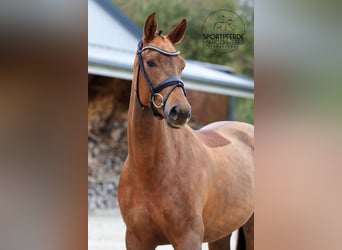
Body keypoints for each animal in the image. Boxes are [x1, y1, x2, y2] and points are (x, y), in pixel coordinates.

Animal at [117, 13, 254, 250]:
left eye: (182, 66)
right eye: (151, 62)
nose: (180, 112)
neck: (149, 169)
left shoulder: (188, 238)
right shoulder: (136, 240)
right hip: (220, 233)